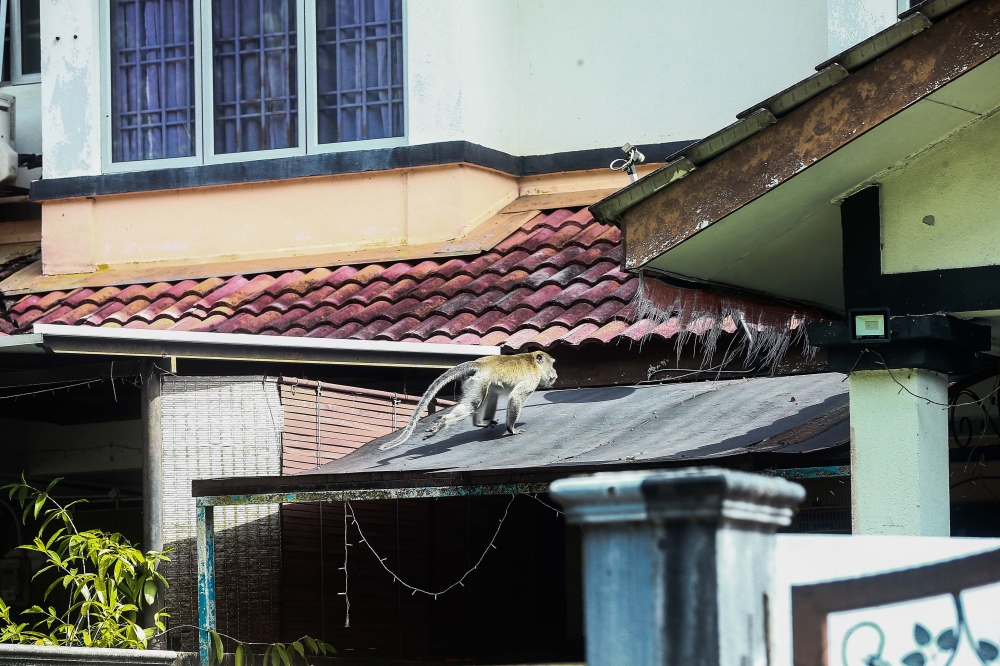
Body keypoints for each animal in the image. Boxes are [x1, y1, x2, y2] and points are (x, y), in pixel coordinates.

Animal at [378, 348, 560, 452]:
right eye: (552, 365)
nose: (555, 373)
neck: (534, 363)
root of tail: (481, 364)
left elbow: (494, 395)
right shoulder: (532, 380)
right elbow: (515, 396)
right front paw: (511, 429)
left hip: (476, 380)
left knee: (485, 396)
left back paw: (478, 423)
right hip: (479, 380)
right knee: (474, 404)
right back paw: (444, 422)